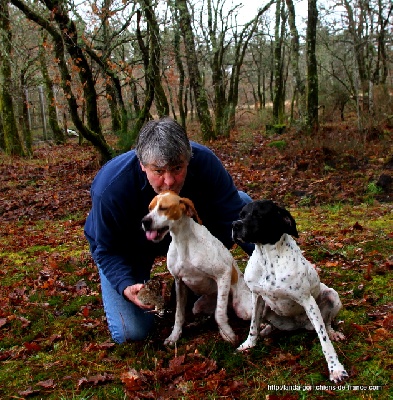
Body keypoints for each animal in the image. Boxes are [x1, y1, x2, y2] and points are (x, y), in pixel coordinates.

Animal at [142, 190, 250, 344]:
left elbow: (219, 314)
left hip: (244, 309)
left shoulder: (223, 273)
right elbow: (179, 315)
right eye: (150, 208)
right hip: (197, 307)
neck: (182, 242)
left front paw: (228, 334)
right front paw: (174, 336)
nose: (144, 221)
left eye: (163, 208)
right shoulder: (179, 282)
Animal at [231, 202, 348, 382]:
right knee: (264, 323)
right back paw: (265, 329)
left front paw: (336, 369)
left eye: (259, 214)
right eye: (241, 214)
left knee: (327, 323)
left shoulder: (308, 301)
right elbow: (253, 325)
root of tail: (298, 325)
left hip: (332, 296)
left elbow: (324, 340)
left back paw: (333, 333)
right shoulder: (257, 296)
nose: (235, 225)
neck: (268, 259)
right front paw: (249, 344)